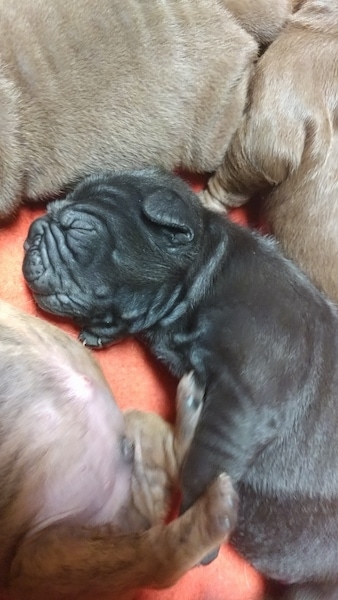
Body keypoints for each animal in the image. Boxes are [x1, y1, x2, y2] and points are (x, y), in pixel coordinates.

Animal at [24, 169, 338, 600]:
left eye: (80, 230)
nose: (32, 231)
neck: (204, 276)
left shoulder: (248, 398)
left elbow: (205, 461)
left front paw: (201, 526)